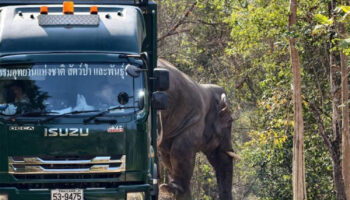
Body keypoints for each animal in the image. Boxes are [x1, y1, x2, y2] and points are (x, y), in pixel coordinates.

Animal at [157, 59, 239, 200]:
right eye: (229, 122)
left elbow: (167, 155)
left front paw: (173, 190)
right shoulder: (193, 120)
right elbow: (180, 151)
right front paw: (175, 189)